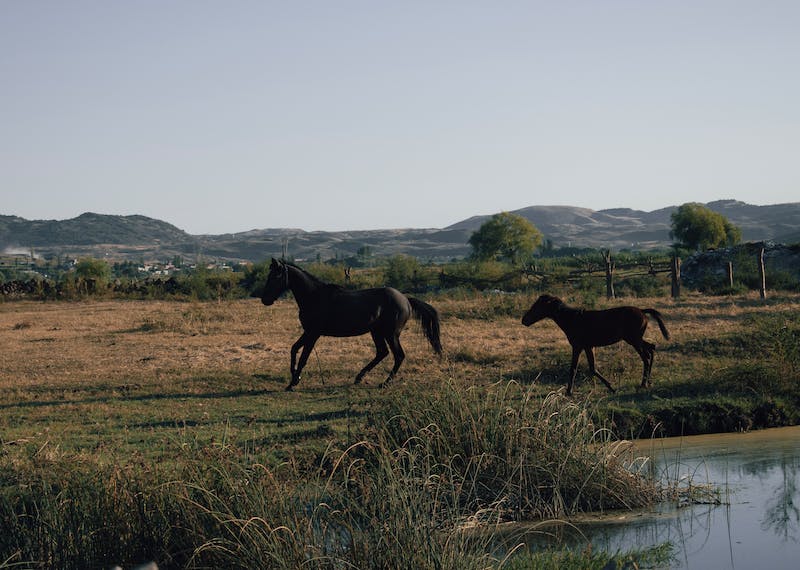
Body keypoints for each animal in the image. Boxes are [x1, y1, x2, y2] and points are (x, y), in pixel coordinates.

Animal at [260, 258, 440, 388]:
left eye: (276, 276)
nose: (265, 299)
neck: (314, 297)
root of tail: (405, 299)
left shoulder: (313, 333)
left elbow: (304, 356)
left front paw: (293, 382)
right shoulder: (308, 332)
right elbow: (294, 349)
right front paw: (294, 377)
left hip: (391, 333)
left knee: (398, 355)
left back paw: (385, 383)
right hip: (377, 332)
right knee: (382, 352)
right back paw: (359, 377)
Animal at [520, 296, 672, 392]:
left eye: (538, 306)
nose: (524, 320)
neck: (572, 319)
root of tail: (642, 311)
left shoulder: (578, 346)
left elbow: (574, 368)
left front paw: (569, 392)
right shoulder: (589, 346)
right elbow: (592, 368)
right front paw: (611, 387)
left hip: (633, 340)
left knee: (646, 357)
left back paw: (643, 383)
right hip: (636, 339)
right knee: (651, 348)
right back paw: (648, 382)